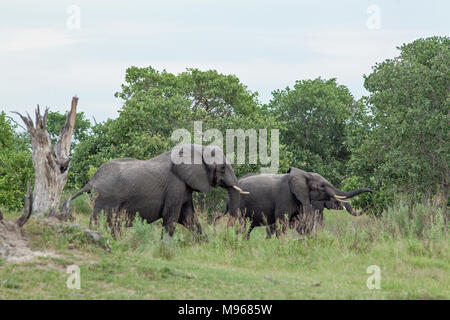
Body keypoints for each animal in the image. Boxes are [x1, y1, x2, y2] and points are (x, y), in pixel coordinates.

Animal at [68, 144, 248, 236]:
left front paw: (203, 245)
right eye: (222, 168)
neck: (198, 148)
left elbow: (188, 217)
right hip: (107, 197)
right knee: (102, 220)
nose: (227, 232)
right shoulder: (175, 184)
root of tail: (91, 181)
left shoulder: (184, 186)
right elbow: (171, 216)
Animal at [220, 168, 370, 238]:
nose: (371, 191)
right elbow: (283, 221)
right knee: (238, 224)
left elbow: (302, 224)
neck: (305, 175)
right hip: (237, 203)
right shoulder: (285, 197)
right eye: (322, 186)